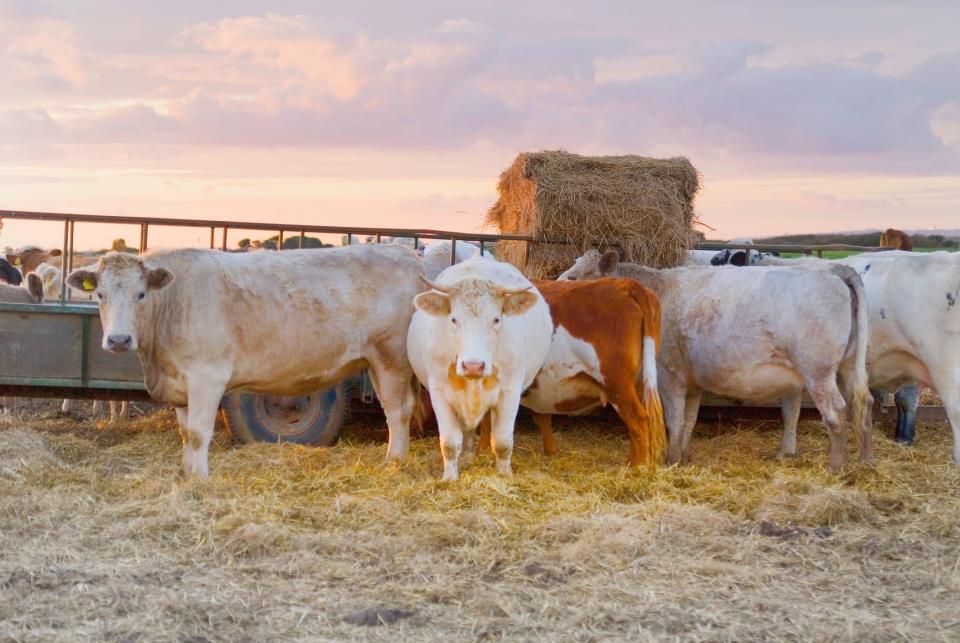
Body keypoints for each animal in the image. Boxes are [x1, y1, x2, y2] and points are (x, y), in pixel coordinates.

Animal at [67, 247, 424, 478]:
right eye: (99, 295)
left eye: (141, 294)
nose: (119, 340)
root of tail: (403, 252)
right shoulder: (179, 383)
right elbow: (184, 433)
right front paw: (185, 472)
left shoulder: (206, 378)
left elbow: (198, 432)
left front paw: (200, 479)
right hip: (374, 361)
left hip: (391, 357)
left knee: (398, 410)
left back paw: (394, 461)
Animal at [560, 249, 872, 470]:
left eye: (574, 278)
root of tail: (835, 271)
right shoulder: (692, 382)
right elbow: (688, 420)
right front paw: (684, 455)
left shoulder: (669, 373)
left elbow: (674, 419)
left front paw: (671, 458)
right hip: (846, 368)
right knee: (863, 402)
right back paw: (864, 461)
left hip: (818, 372)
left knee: (836, 412)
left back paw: (836, 466)